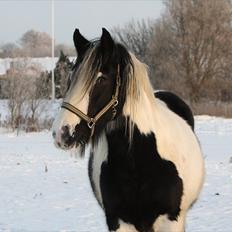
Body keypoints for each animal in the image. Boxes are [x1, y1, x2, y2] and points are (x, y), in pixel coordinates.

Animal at [51, 28, 204, 231]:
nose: (62, 133)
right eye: (70, 77)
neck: (137, 160)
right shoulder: (118, 221)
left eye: (101, 79)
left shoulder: (171, 220)